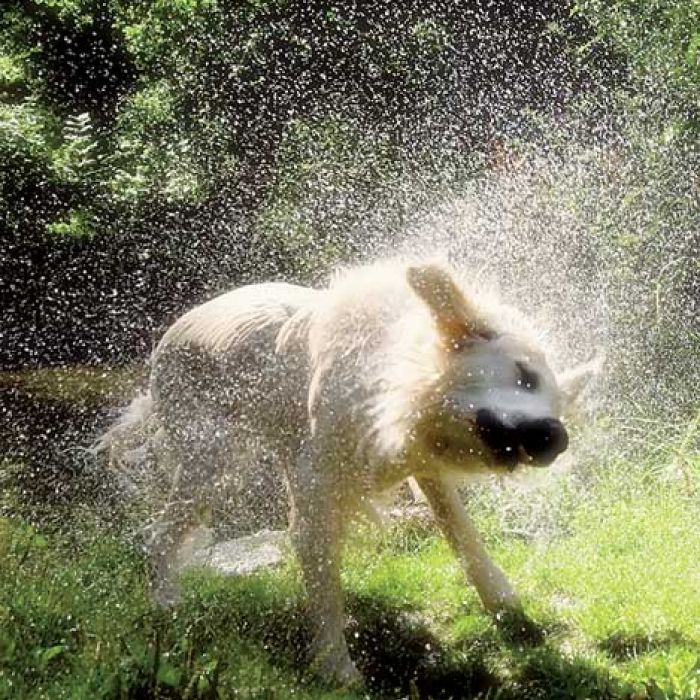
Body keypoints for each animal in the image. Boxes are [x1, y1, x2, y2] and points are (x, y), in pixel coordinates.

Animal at [97, 260, 596, 688]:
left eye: (558, 404)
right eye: (523, 374)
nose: (558, 438)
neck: (396, 380)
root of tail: (172, 333)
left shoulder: (422, 466)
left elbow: (464, 535)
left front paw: (509, 613)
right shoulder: (318, 487)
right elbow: (325, 586)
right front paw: (337, 669)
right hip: (214, 461)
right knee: (158, 534)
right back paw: (166, 605)